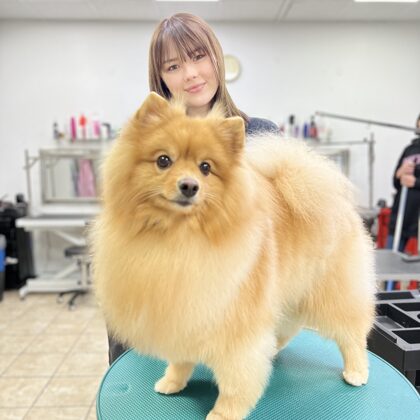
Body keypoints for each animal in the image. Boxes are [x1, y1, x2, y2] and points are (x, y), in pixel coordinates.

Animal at [92, 92, 376, 420]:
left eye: (205, 167)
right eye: (164, 160)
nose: (189, 185)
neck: (177, 239)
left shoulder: (236, 326)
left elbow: (236, 379)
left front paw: (224, 412)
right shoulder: (182, 311)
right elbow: (181, 358)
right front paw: (173, 381)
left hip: (332, 292)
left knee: (352, 334)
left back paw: (356, 371)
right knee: (289, 326)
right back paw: (274, 348)